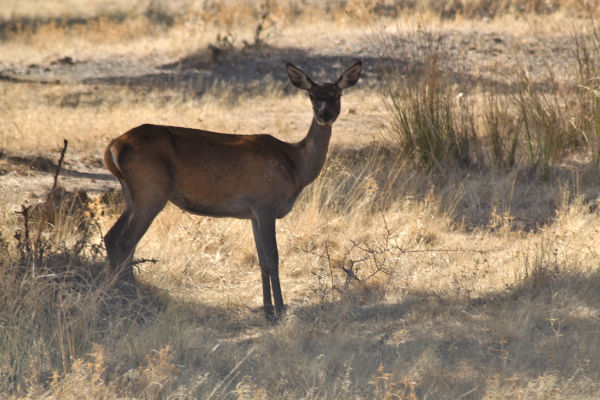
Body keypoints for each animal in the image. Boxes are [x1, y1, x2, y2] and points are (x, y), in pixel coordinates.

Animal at [103, 61, 362, 321]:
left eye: (338, 94)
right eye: (311, 95)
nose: (325, 115)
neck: (295, 165)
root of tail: (113, 146)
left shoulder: (253, 214)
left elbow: (261, 260)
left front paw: (267, 311)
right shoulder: (265, 204)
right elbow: (273, 258)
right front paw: (280, 310)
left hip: (132, 195)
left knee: (111, 237)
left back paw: (118, 298)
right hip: (151, 191)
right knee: (126, 242)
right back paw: (133, 302)